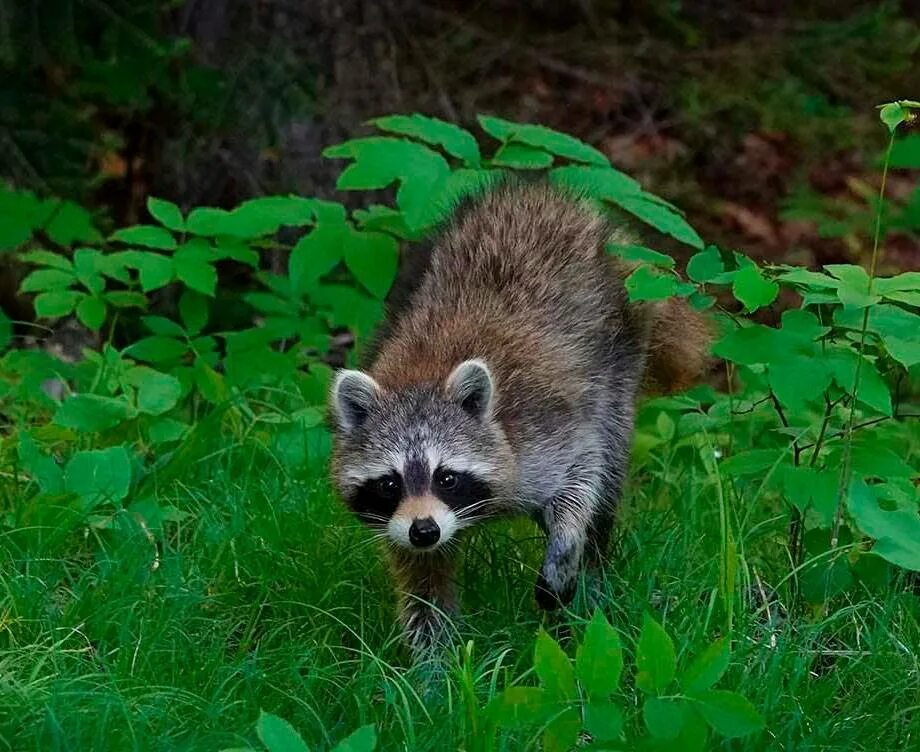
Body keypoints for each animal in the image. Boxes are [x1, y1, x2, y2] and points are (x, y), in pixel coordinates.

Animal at [330, 181, 712, 652]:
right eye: (389, 483)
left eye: (446, 477)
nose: (425, 531)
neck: (422, 377)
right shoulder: (400, 522)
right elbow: (423, 581)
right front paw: (434, 660)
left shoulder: (544, 428)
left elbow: (582, 476)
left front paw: (566, 548)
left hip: (622, 347)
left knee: (606, 479)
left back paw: (591, 575)